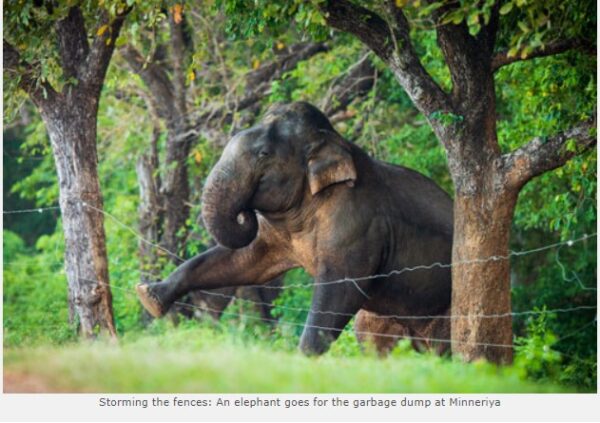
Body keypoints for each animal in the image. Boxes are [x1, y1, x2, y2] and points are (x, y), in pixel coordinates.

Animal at [136, 100, 452, 354]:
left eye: (264, 153)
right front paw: (149, 296)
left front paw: (304, 360)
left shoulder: (357, 227)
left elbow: (340, 289)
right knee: (375, 342)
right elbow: (246, 262)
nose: (245, 213)